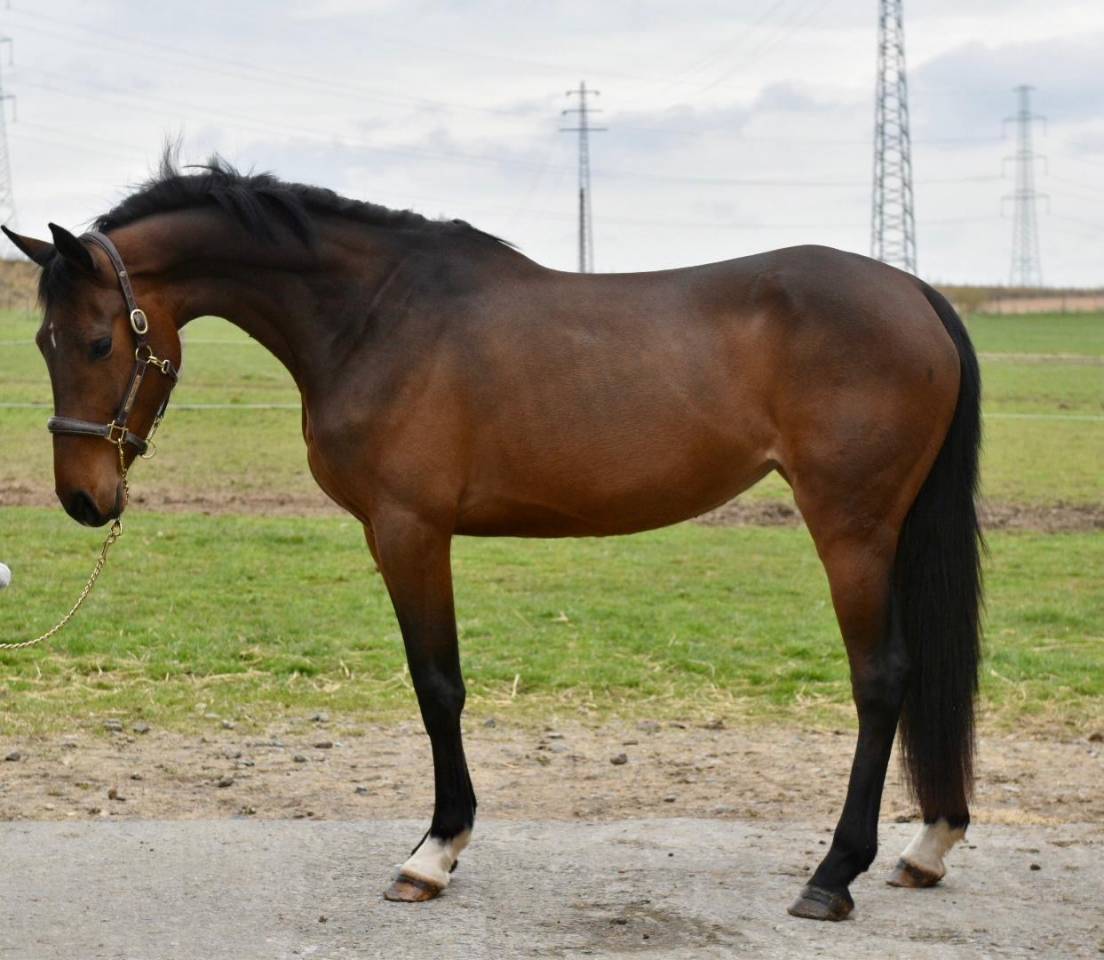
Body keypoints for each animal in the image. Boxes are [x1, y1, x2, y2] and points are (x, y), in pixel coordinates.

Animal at [3, 156, 982, 922]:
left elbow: (437, 686)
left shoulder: (409, 530)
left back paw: (835, 872)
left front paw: (432, 854)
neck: (375, 315)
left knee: (882, 680)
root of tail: (914, 292)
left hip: (852, 528)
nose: (84, 498)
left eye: (99, 342)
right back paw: (927, 845)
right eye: (42, 342)